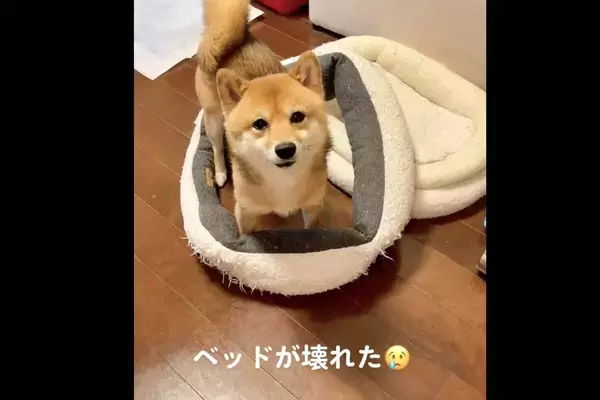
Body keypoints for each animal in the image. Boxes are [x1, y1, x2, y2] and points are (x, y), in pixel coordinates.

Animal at [195, 0, 331, 235]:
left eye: (297, 116)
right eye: (259, 124)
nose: (285, 149)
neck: (283, 181)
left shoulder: (313, 206)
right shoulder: (246, 212)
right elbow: (246, 237)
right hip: (213, 119)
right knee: (218, 147)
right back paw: (220, 172)